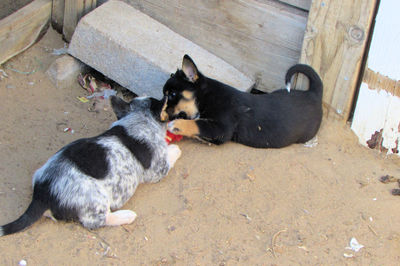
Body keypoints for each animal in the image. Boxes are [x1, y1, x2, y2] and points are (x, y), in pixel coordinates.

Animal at [0, 96, 181, 237]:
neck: (139, 119)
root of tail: (42, 194)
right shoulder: (159, 169)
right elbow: (172, 152)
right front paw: (173, 146)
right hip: (97, 200)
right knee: (98, 221)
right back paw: (126, 216)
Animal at [162, 54, 322, 149]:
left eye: (173, 94)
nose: (161, 115)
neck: (207, 96)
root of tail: (314, 93)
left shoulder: (222, 129)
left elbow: (197, 124)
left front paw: (176, 125)